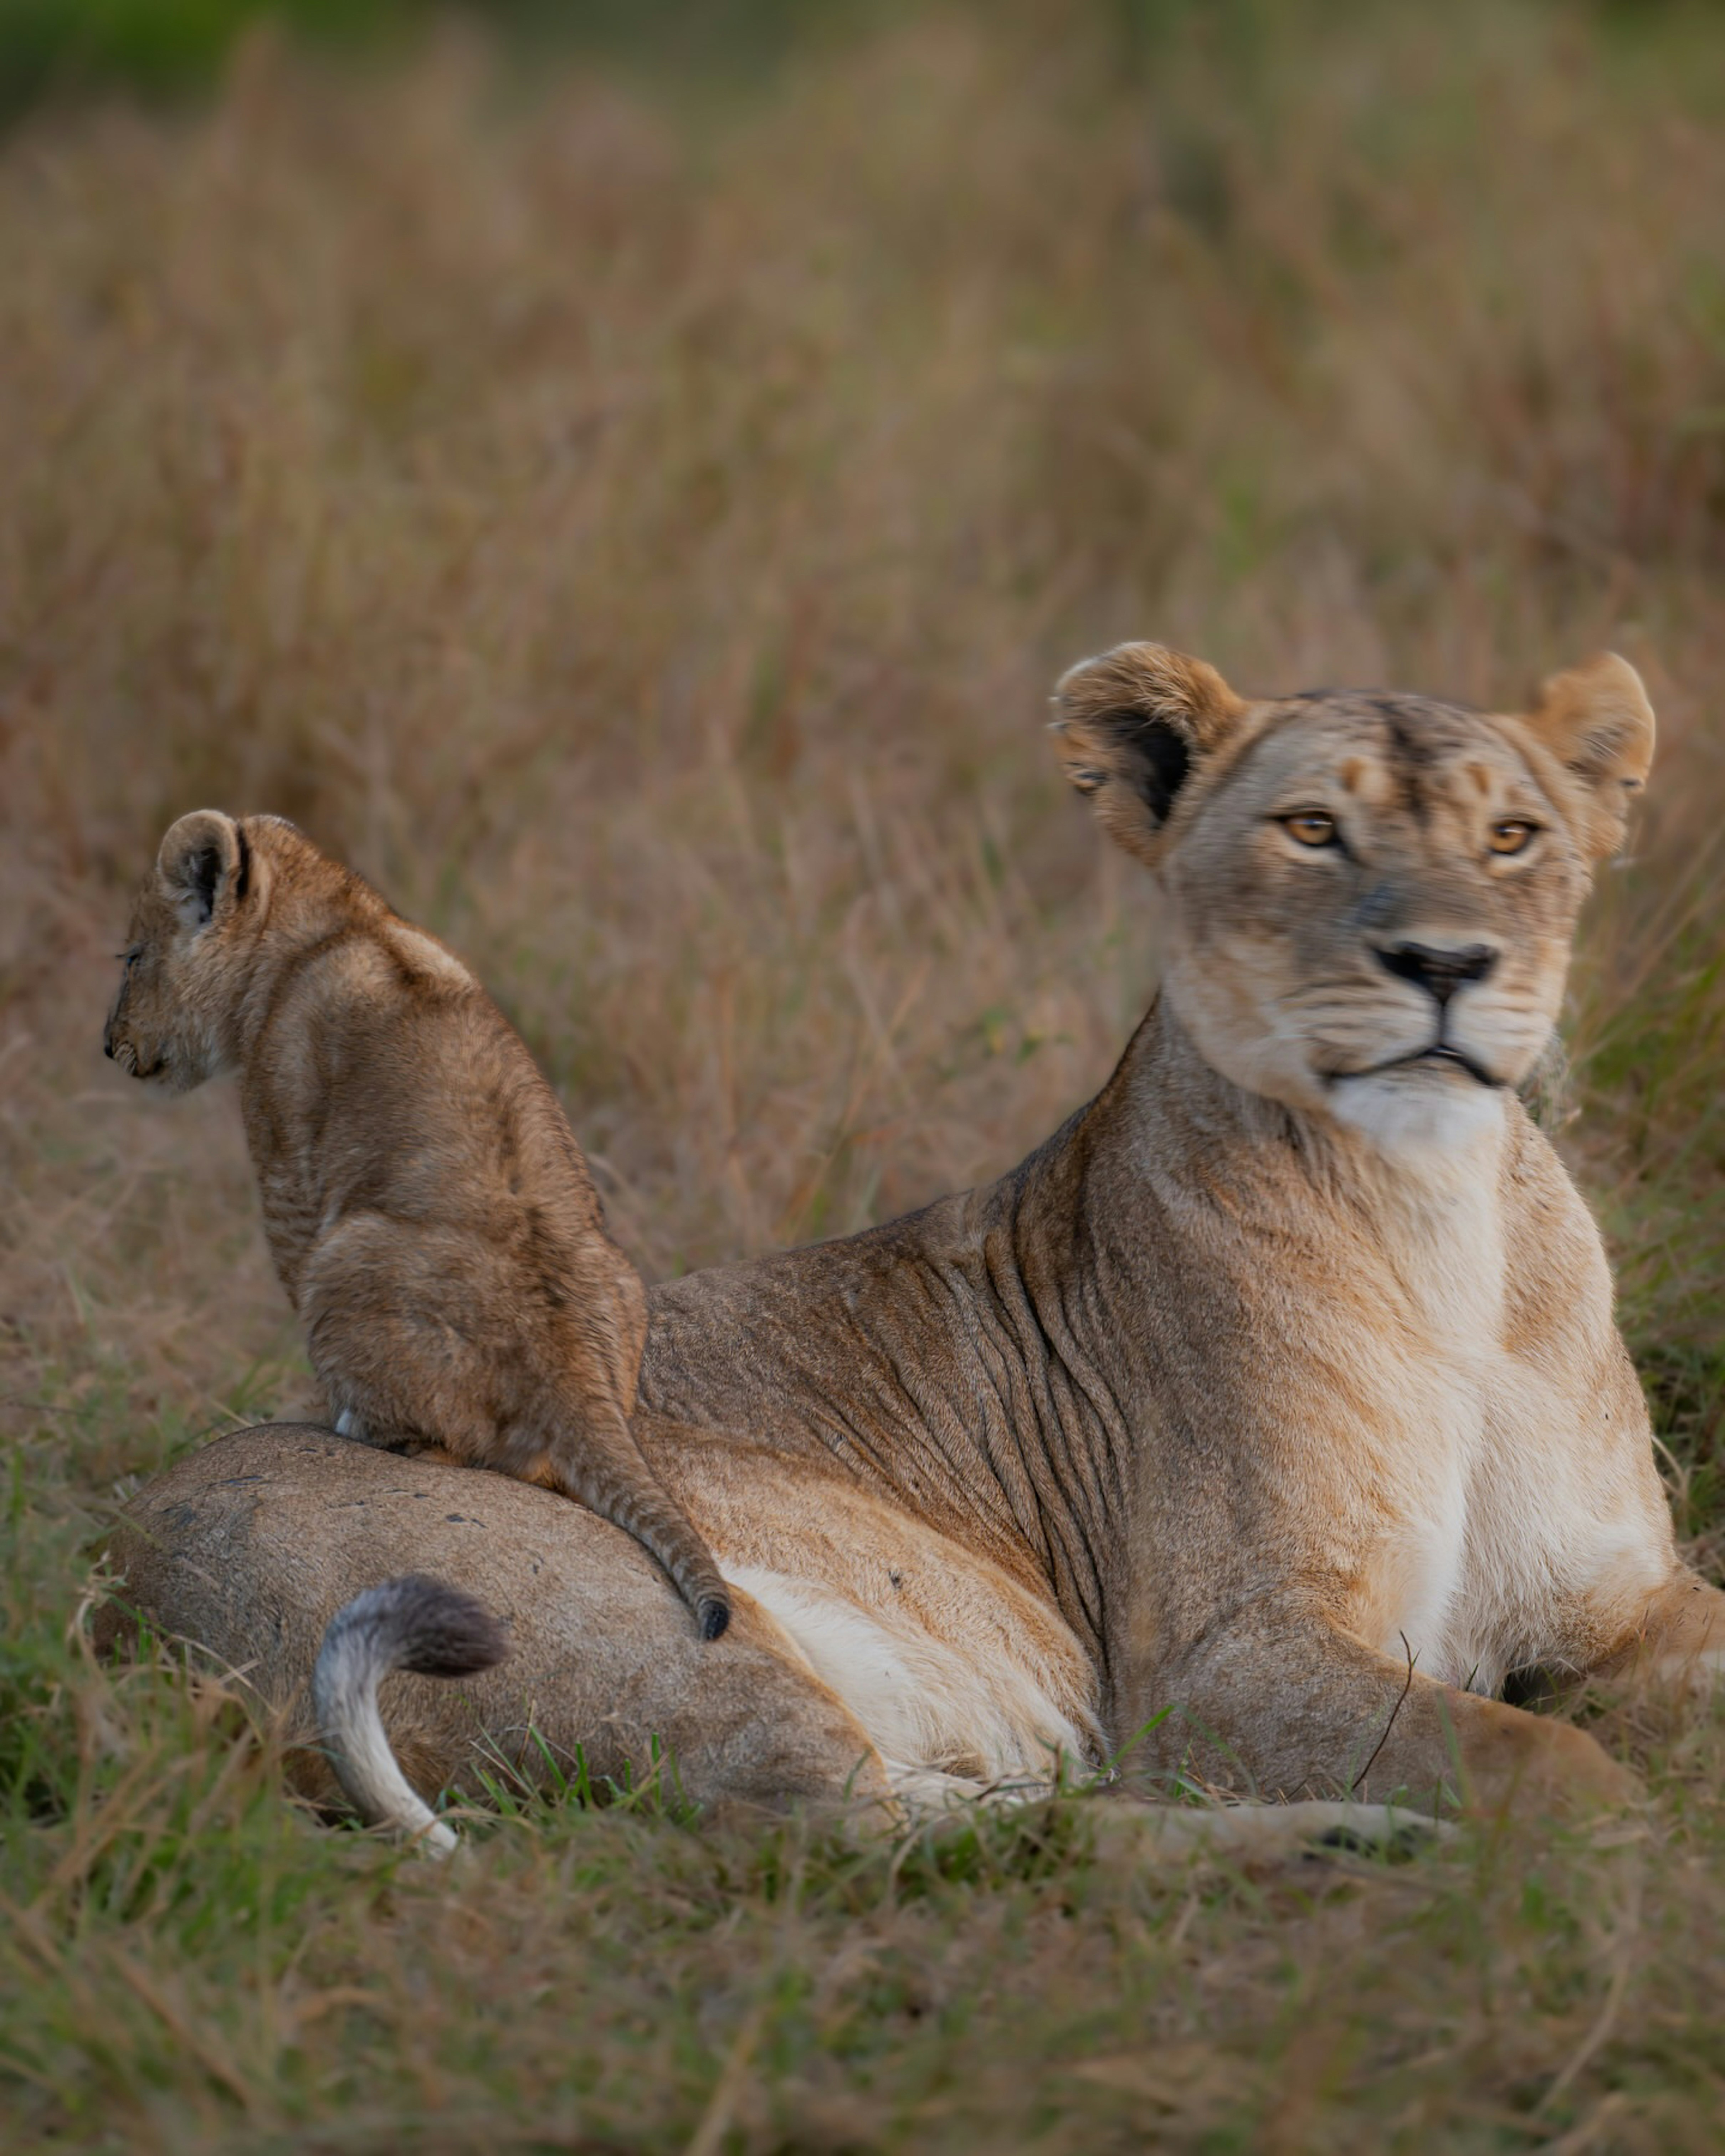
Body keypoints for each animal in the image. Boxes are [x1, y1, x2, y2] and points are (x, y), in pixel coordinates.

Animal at [102, 811, 730, 1639]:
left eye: (134, 956)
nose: (108, 1045)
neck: (336, 919)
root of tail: (573, 1373)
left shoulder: (286, 1152)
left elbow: (289, 1247)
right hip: (620, 1274)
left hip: (348, 1251)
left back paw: (353, 1423)